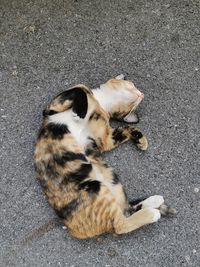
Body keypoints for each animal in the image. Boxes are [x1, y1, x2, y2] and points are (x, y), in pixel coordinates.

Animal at [34, 76, 175, 241]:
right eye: (133, 84)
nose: (142, 94)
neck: (99, 102)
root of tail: (73, 230)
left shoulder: (106, 139)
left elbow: (126, 129)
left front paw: (141, 140)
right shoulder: (51, 106)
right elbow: (80, 90)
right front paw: (79, 113)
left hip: (108, 183)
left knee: (123, 218)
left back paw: (154, 204)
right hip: (99, 186)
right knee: (122, 220)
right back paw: (153, 209)